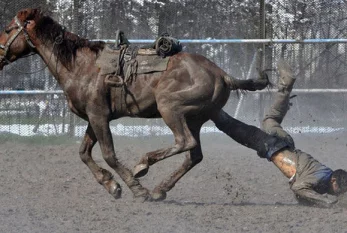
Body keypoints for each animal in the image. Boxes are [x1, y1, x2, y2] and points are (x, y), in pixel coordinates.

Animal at [0, 8, 272, 201]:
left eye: (7, 28)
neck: (81, 66)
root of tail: (222, 74)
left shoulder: (98, 116)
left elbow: (108, 154)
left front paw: (134, 188)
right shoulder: (93, 118)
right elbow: (83, 153)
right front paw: (110, 184)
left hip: (170, 108)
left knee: (184, 142)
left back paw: (144, 166)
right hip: (195, 119)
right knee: (194, 155)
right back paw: (160, 189)